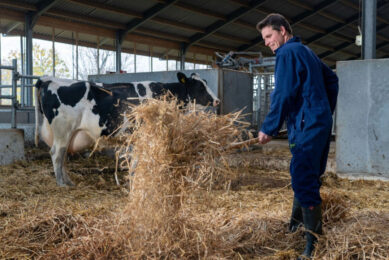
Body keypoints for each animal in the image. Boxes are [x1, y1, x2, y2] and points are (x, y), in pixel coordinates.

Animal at [34, 72, 220, 186]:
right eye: (200, 86)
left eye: (205, 83)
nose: (217, 100)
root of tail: (48, 79)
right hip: (62, 130)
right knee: (56, 154)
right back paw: (61, 183)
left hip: (68, 134)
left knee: (63, 156)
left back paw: (68, 180)